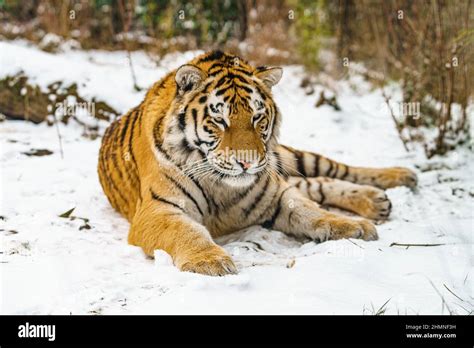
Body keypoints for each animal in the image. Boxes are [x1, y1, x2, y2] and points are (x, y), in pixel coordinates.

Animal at [98, 50, 416, 276]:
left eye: (257, 117)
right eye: (219, 119)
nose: (247, 164)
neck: (221, 185)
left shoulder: (276, 193)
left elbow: (312, 212)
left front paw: (351, 225)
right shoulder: (157, 210)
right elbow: (186, 231)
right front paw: (210, 260)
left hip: (287, 157)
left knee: (333, 170)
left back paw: (399, 177)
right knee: (318, 183)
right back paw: (378, 200)